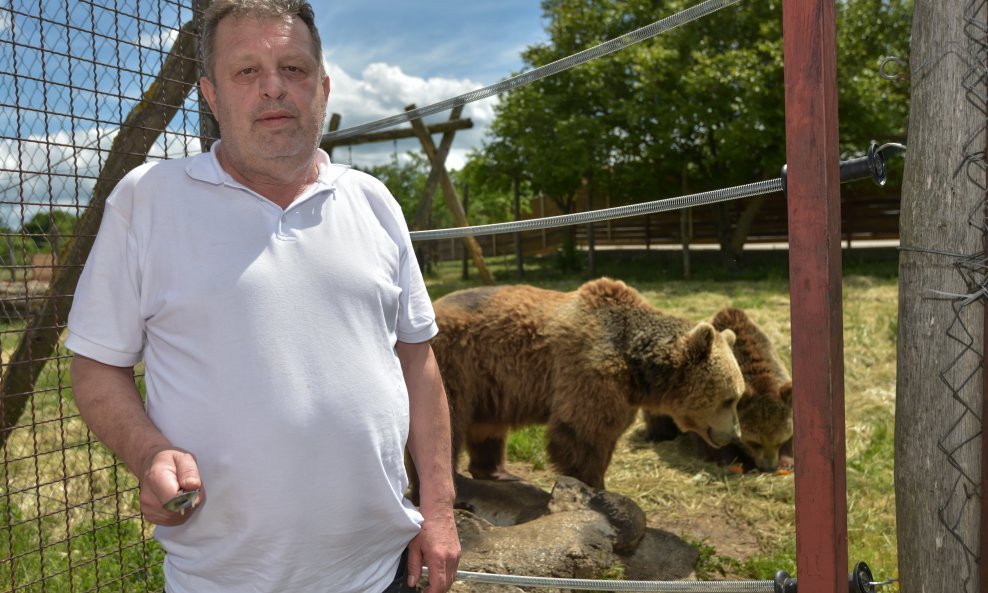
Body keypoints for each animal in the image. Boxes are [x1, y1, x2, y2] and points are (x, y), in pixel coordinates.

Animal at [428, 280, 744, 488]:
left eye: (739, 397)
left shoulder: (623, 391)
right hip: (454, 363)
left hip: (488, 381)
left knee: (487, 426)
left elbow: (606, 431)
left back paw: (498, 472)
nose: (733, 435)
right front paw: (593, 485)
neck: (636, 364)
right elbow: (583, 430)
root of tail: (435, 302)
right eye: (729, 399)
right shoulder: (591, 370)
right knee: (448, 420)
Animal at [640, 308, 796, 470]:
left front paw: (786, 461)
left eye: (780, 441)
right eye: (754, 442)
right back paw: (657, 435)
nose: (768, 467)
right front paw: (733, 461)